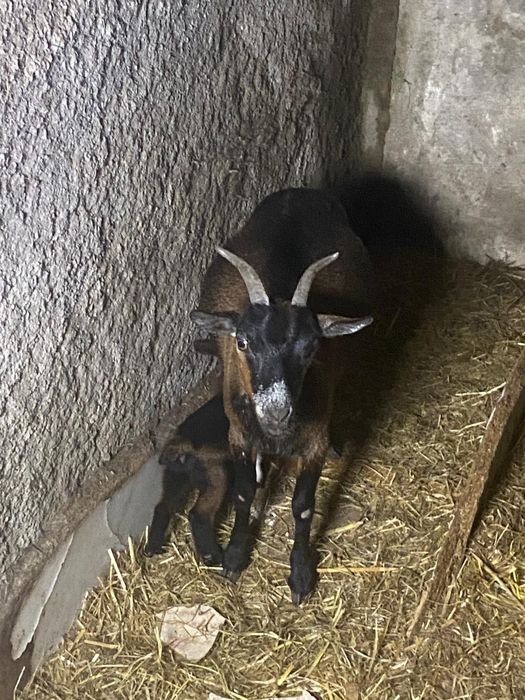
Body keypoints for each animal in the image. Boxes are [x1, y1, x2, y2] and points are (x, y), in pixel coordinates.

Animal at [191, 188, 377, 603]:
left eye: (312, 348)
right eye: (242, 342)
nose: (276, 410)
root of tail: (299, 192)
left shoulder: (313, 443)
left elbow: (303, 506)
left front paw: (301, 574)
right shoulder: (239, 435)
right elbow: (243, 493)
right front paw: (235, 555)